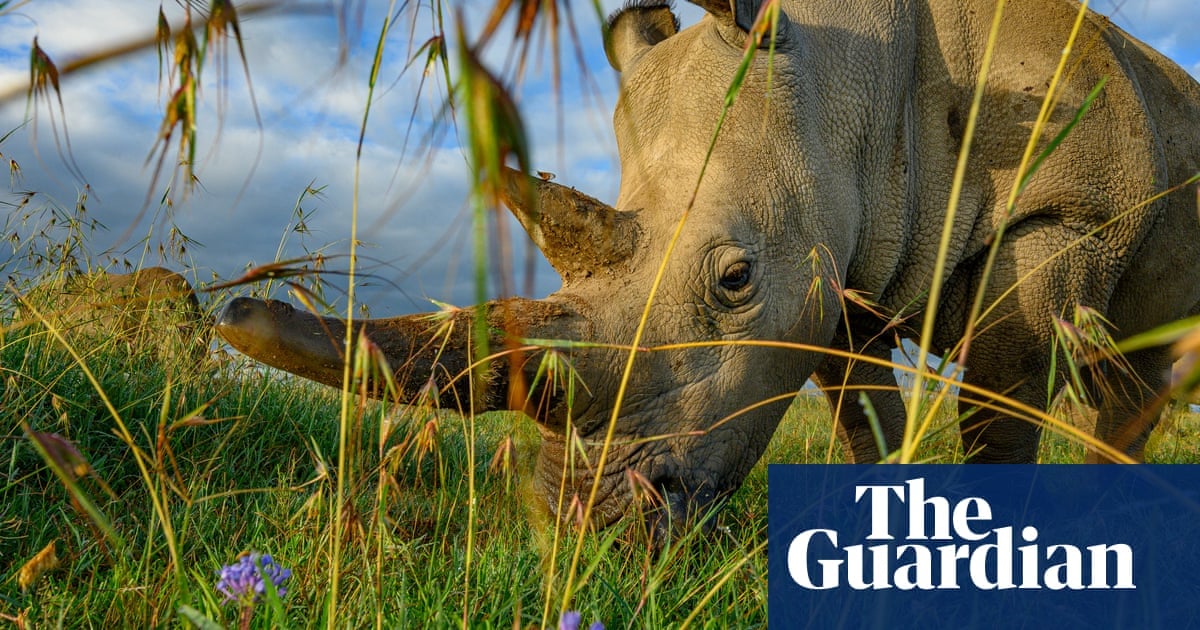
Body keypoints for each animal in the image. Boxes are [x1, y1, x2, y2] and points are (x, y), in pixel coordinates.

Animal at [217, 0, 1200, 536]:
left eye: (734, 281)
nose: (587, 525)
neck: (862, 77)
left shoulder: (1072, 210)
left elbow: (1001, 406)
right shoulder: (841, 265)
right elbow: (865, 418)